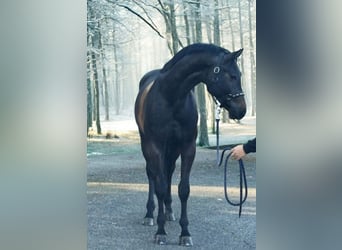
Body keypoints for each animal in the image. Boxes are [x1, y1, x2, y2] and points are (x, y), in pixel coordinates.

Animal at [134, 43, 246, 246]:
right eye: (232, 75)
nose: (241, 110)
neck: (171, 97)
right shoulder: (155, 147)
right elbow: (160, 186)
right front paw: (160, 232)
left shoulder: (187, 147)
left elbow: (183, 189)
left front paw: (185, 232)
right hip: (146, 145)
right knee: (152, 175)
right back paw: (150, 214)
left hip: (172, 149)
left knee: (168, 173)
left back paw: (169, 212)